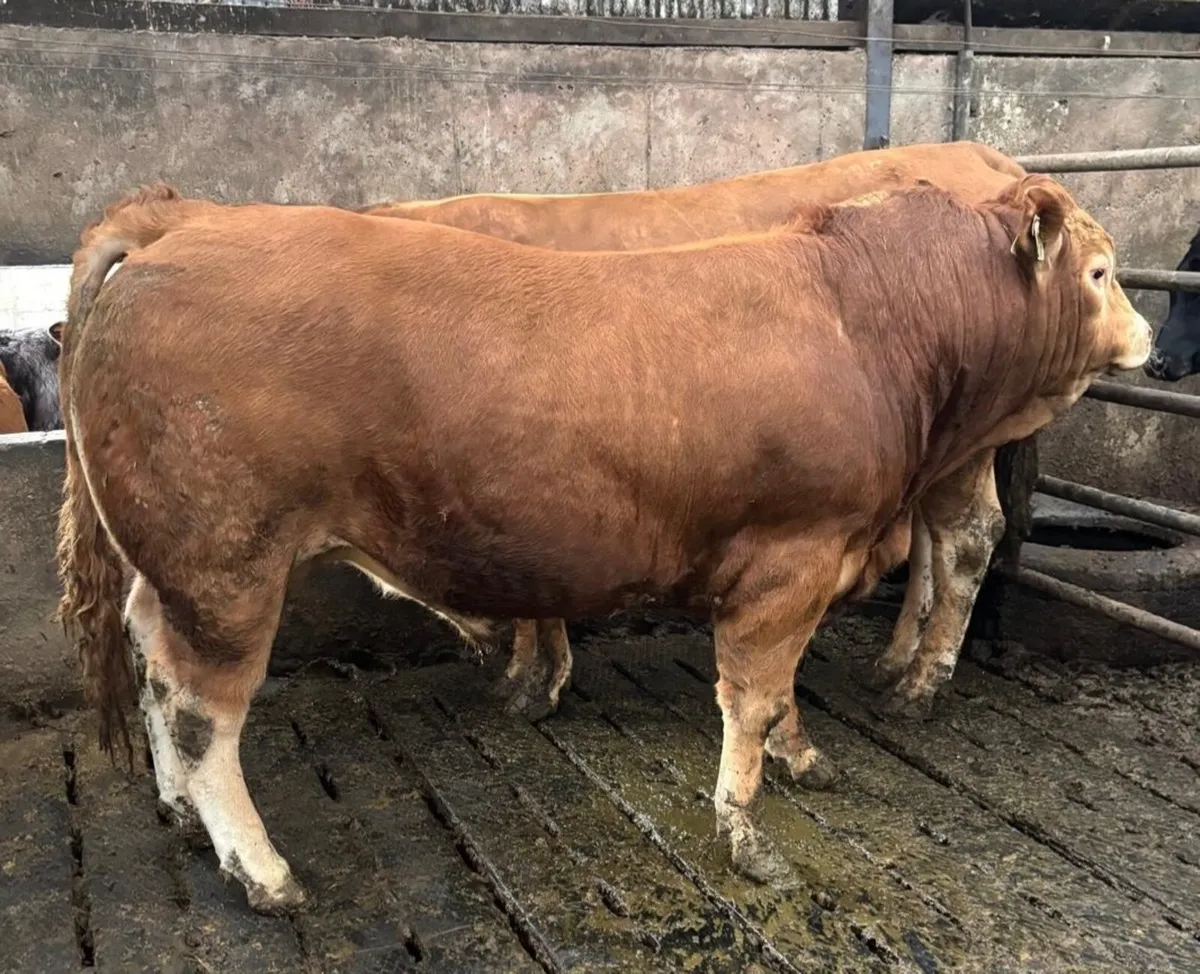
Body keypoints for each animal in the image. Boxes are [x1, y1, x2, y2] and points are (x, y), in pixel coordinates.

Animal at [362, 140, 1030, 722]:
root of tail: (971, 150)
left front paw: (534, 687)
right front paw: (523, 678)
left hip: (968, 438)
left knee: (967, 537)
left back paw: (919, 687)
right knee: (930, 538)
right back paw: (891, 663)